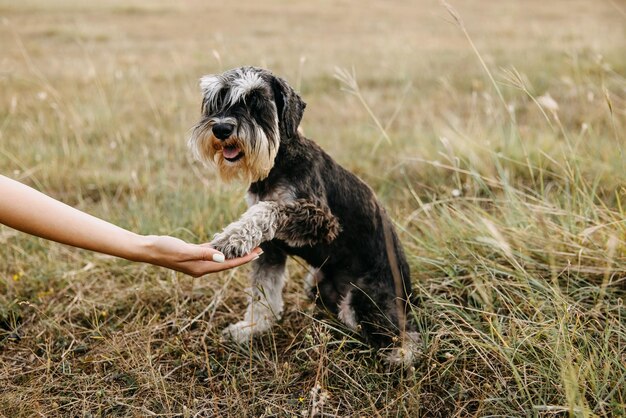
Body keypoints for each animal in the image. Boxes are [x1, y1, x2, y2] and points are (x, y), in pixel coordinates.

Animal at [188, 67, 416, 364]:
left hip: (363, 300)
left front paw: (232, 237)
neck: (277, 163)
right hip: (315, 281)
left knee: (402, 337)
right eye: (216, 100)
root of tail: (410, 293)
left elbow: (269, 209)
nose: (221, 128)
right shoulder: (271, 248)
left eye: (256, 100)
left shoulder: (321, 220)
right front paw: (250, 328)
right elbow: (263, 291)